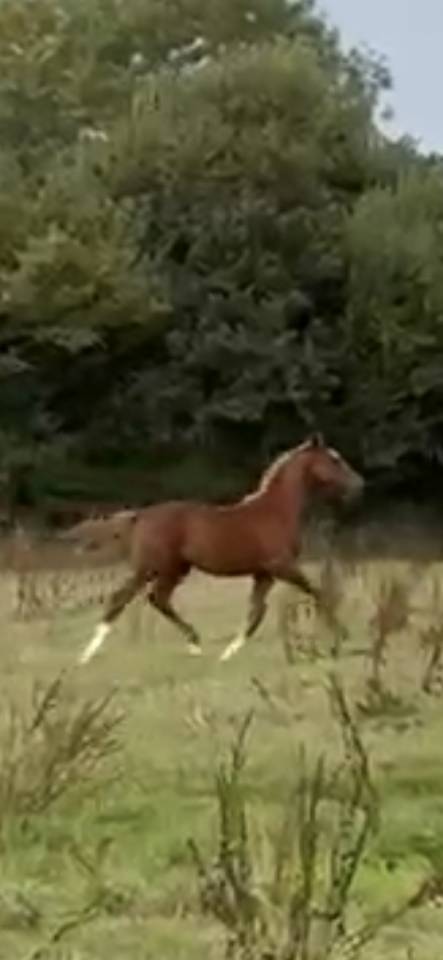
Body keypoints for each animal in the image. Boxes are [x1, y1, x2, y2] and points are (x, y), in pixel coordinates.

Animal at [72, 434, 364, 666]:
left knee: (153, 598)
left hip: (174, 569)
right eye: (334, 460)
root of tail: (140, 516)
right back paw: (87, 655)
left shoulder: (264, 573)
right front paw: (342, 636)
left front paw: (228, 653)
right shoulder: (281, 566)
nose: (359, 485)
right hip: (155, 566)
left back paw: (193, 643)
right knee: (128, 598)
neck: (277, 512)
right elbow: (317, 592)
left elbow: (256, 612)